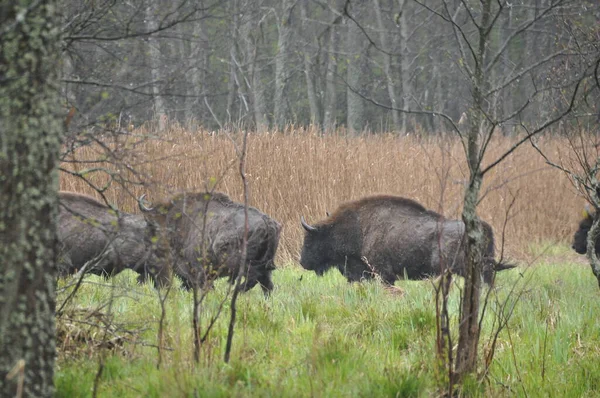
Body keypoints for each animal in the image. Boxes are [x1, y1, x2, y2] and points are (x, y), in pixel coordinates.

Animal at [139, 191, 282, 294]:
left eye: (151, 226)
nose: (146, 244)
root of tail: (268, 223)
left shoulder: (197, 267)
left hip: (247, 264)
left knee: (252, 280)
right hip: (266, 266)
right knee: (267, 285)